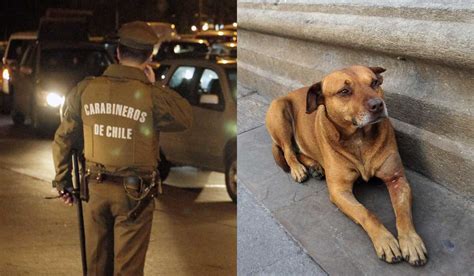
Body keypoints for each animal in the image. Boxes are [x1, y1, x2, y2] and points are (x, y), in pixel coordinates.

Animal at [266, 66, 430, 266]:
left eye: (374, 83)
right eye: (344, 91)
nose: (378, 105)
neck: (359, 138)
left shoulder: (397, 179)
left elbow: (403, 213)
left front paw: (411, 241)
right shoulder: (340, 191)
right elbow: (366, 213)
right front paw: (384, 240)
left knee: (299, 152)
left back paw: (315, 166)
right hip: (279, 112)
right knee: (289, 151)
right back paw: (298, 169)